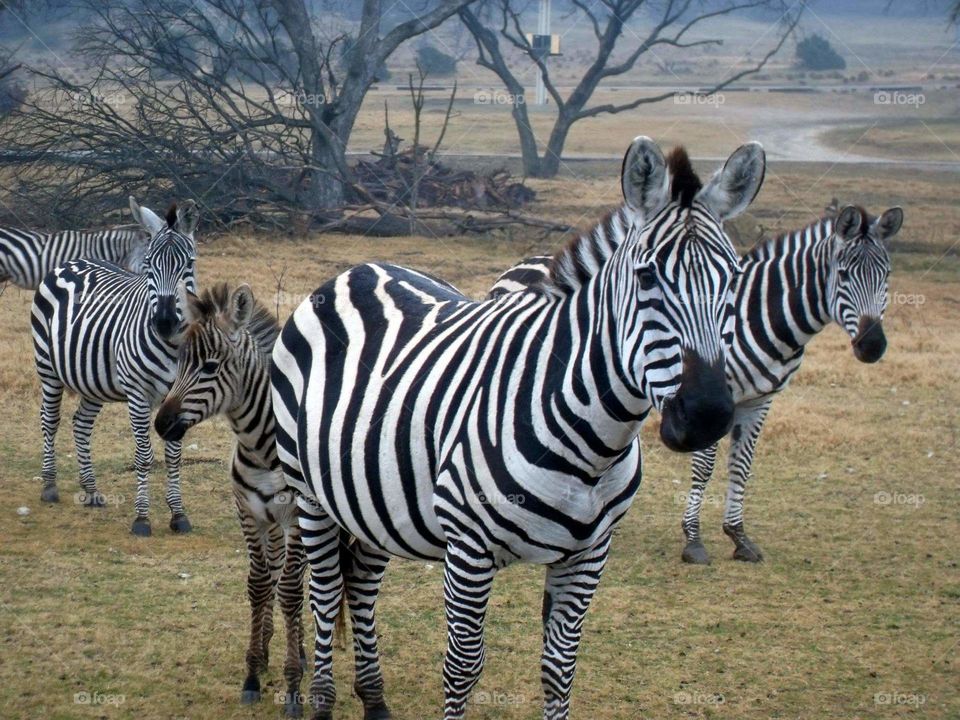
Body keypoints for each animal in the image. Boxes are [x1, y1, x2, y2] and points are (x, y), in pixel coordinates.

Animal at [31, 197, 200, 536]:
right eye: (149, 265)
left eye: (187, 265)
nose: (164, 322)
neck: (173, 347)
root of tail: (71, 262)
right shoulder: (137, 395)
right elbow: (145, 455)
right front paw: (142, 518)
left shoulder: (180, 397)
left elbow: (174, 454)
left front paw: (178, 514)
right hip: (47, 368)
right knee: (50, 420)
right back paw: (49, 485)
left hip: (92, 379)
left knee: (81, 424)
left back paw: (91, 490)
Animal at [154, 283, 307, 717]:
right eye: (179, 362)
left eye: (209, 367)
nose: (161, 424)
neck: (263, 448)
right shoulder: (249, 513)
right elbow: (259, 584)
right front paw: (254, 671)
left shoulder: (296, 518)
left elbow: (291, 592)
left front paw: (293, 687)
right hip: (273, 526)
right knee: (278, 574)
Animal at [269, 137, 766, 720]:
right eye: (646, 278)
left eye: (732, 278)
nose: (709, 415)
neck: (594, 447)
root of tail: (358, 269)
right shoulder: (468, 546)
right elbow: (462, 668)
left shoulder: (591, 553)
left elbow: (560, 668)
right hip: (309, 490)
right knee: (326, 594)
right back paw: (319, 699)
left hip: (372, 499)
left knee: (362, 587)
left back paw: (375, 700)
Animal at [488, 205, 904, 565]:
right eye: (844, 274)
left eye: (886, 275)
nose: (872, 346)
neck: (761, 314)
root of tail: (525, 262)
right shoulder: (716, 399)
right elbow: (705, 467)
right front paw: (694, 539)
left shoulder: (760, 400)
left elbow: (742, 466)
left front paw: (738, 536)